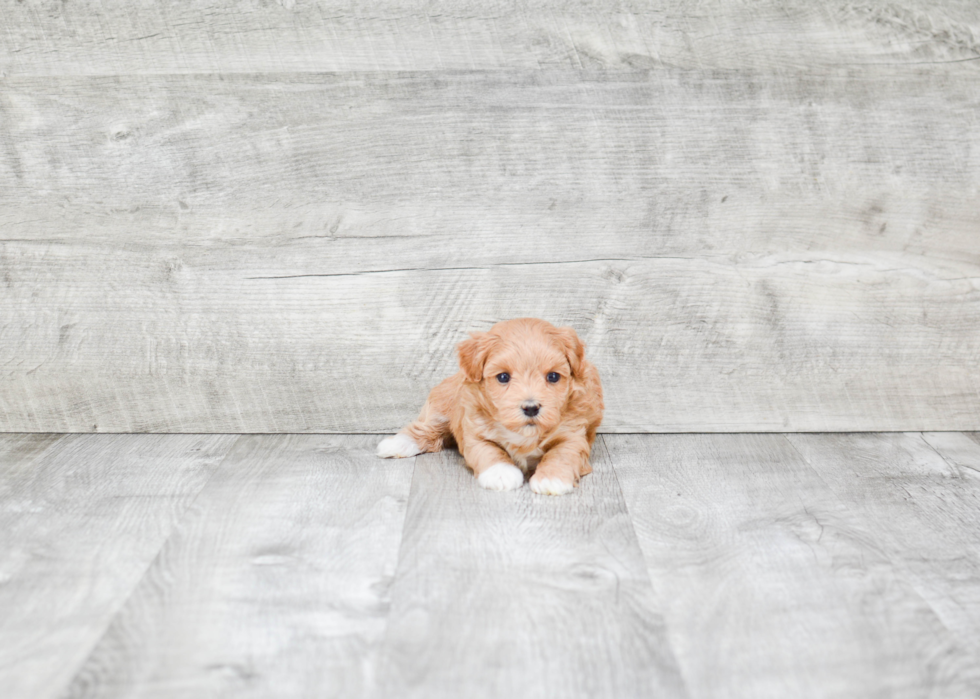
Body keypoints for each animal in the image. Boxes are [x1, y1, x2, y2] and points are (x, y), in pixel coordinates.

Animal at [378, 320, 600, 494]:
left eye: (553, 376)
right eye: (503, 377)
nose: (531, 408)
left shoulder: (573, 435)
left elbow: (562, 453)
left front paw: (552, 479)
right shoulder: (474, 431)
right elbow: (489, 450)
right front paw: (501, 473)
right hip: (443, 406)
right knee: (426, 427)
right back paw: (397, 443)